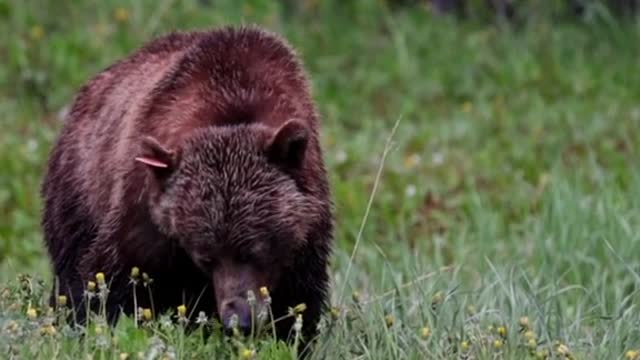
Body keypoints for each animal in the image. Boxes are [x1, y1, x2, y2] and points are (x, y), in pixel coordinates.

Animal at [38, 25, 336, 344]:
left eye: (255, 250)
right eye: (206, 258)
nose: (238, 320)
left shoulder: (307, 232)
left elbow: (299, 300)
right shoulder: (146, 211)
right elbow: (104, 277)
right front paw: (86, 325)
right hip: (79, 191)